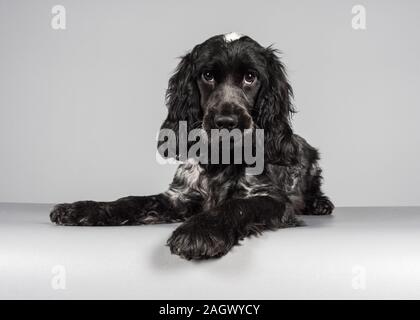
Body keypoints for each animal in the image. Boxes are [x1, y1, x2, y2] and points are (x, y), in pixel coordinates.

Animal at [49, 33, 334, 260]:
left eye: (250, 77)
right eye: (207, 75)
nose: (226, 122)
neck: (221, 159)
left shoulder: (270, 199)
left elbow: (235, 206)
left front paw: (199, 232)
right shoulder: (179, 197)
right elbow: (130, 201)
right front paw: (81, 209)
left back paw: (320, 204)